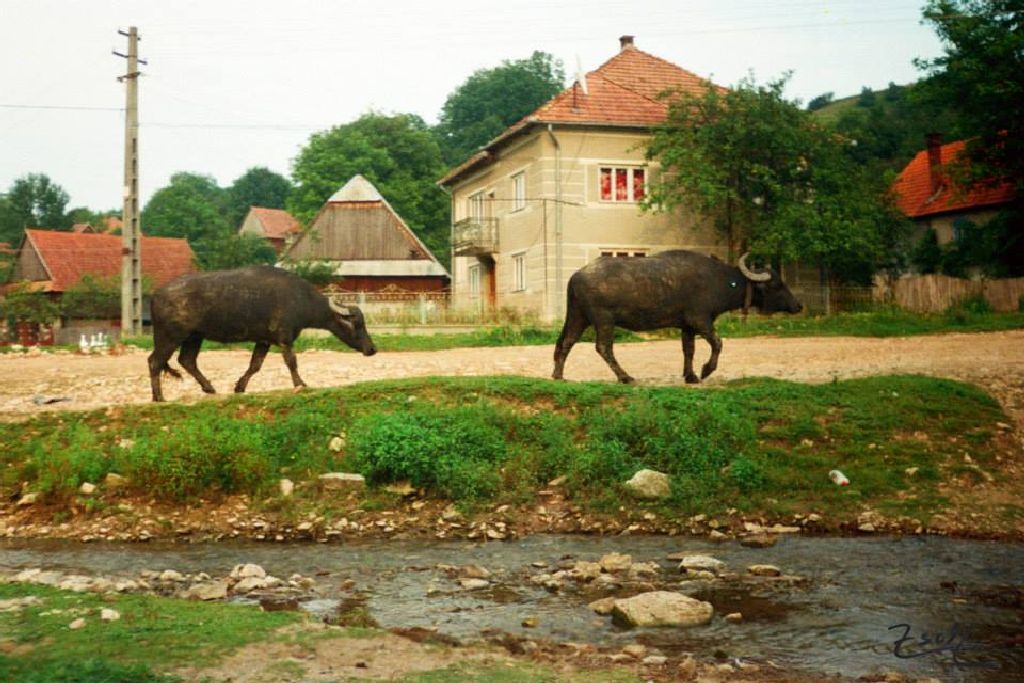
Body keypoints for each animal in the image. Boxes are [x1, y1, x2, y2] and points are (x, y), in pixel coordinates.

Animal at [148, 264, 376, 401]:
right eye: (357, 324)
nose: (372, 349)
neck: (300, 299)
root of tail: (156, 295)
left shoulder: (264, 340)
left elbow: (255, 365)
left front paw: (239, 386)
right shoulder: (284, 338)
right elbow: (291, 362)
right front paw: (300, 383)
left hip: (195, 337)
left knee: (187, 360)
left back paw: (209, 388)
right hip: (170, 336)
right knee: (155, 361)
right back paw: (159, 398)